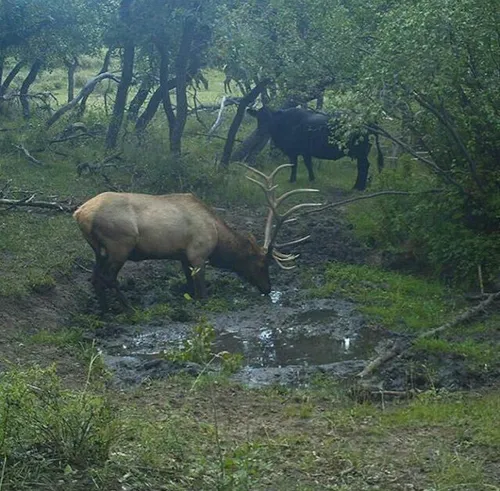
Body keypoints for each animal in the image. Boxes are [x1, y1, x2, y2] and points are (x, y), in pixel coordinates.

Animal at [73, 165, 324, 312]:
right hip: (120, 244)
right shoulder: (198, 254)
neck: (217, 236)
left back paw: (105, 311)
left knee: (95, 278)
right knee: (108, 278)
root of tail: (80, 214)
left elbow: (188, 285)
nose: (267, 288)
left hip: (98, 250)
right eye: (262, 264)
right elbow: (202, 293)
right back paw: (128, 308)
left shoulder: (183, 256)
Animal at [248, 106, 384, 190]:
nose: (261, 130)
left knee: (363, 166)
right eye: (258, 117)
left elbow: (294, 165)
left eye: (269, 118)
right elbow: (309, 165)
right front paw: (312, 179)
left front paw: (292, 180)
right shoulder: (306, 152)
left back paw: (358, 187)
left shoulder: (293, 152)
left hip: (360, 151)